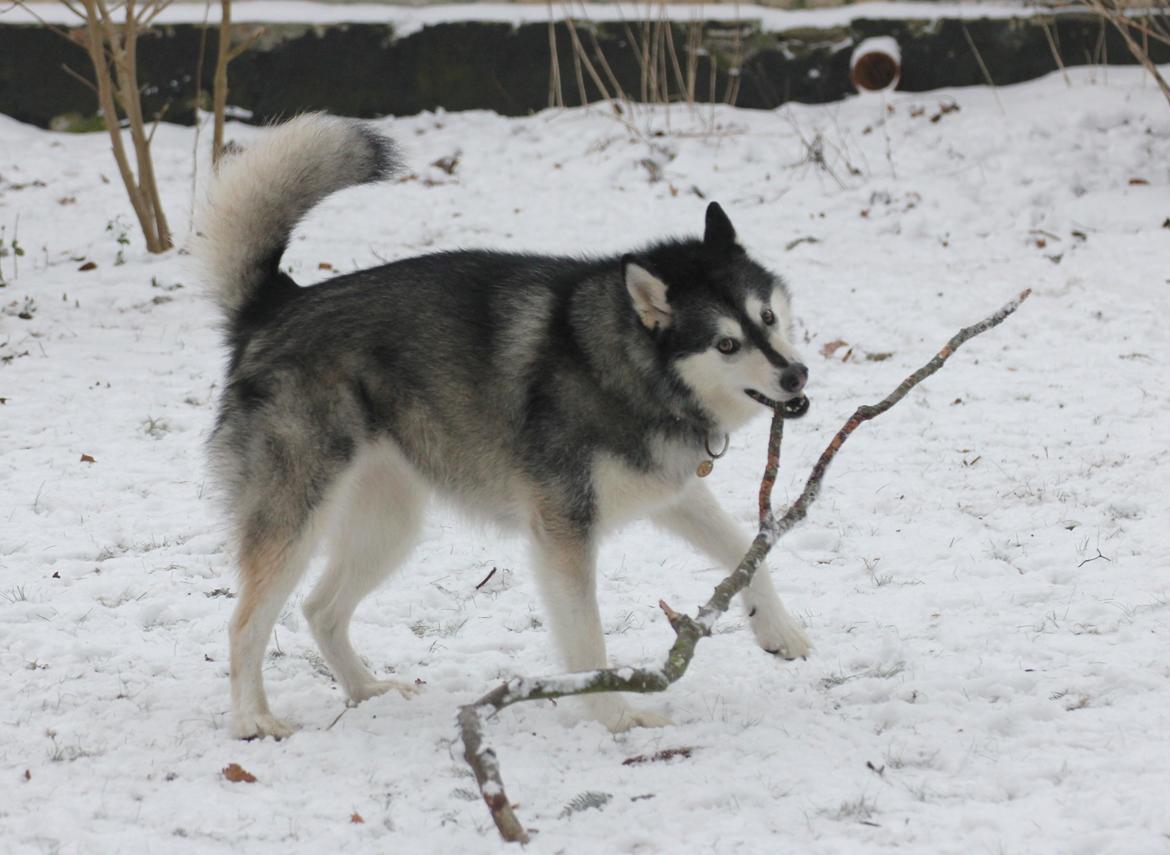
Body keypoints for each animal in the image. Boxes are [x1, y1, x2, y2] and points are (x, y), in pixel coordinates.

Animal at [194, 115, 814, 743]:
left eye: (766, 316)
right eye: (726, 344)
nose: (796, 374)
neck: (617, 362)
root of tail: (277, 305)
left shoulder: (671, 489)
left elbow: (744, 548)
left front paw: (777, 630)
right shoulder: (563, 530)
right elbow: (588, 635)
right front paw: (616, 716)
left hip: (390, 523)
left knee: (320, 610)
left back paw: (366, 690)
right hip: (297, 516)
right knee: (245, 622)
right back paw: (252, 719)